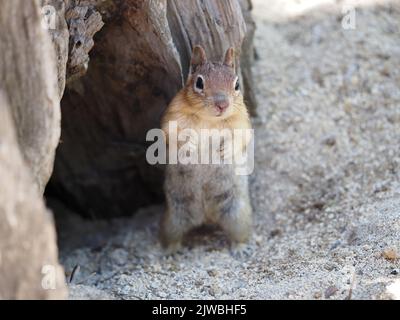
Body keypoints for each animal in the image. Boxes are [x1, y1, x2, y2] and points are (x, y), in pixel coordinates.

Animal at [160, 45, 252, 254]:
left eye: (236, 85)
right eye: (199, 82)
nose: (222, 104)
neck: (210, 119)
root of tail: (206, 216)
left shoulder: (242, 121)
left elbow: (242, 137)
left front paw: (226, 150)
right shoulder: (172, 118)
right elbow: (173, 134)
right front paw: (191, 144)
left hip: (237, 214)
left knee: (238, 232)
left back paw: (241, 247)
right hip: (175, 218)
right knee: (172, 235)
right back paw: (171, 251)